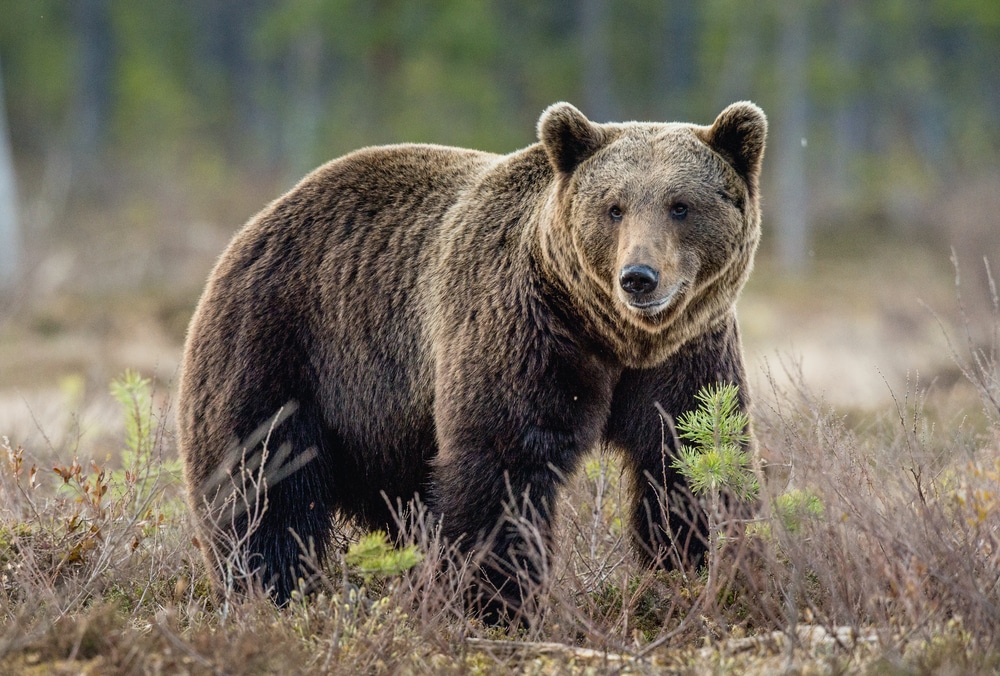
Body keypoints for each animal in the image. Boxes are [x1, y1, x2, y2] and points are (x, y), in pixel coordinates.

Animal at [178, 101, 764, 616]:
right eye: (613, 207)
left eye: (680, 205)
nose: (639, 277)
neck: (612, 336)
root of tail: (255, 224)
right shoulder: (524, 331)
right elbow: (502, 462)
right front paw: (495, 602)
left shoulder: (687, 354)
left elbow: (690, 453)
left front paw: (704, 567)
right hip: (282, 348)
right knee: (262, 483)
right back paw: (269, 589)